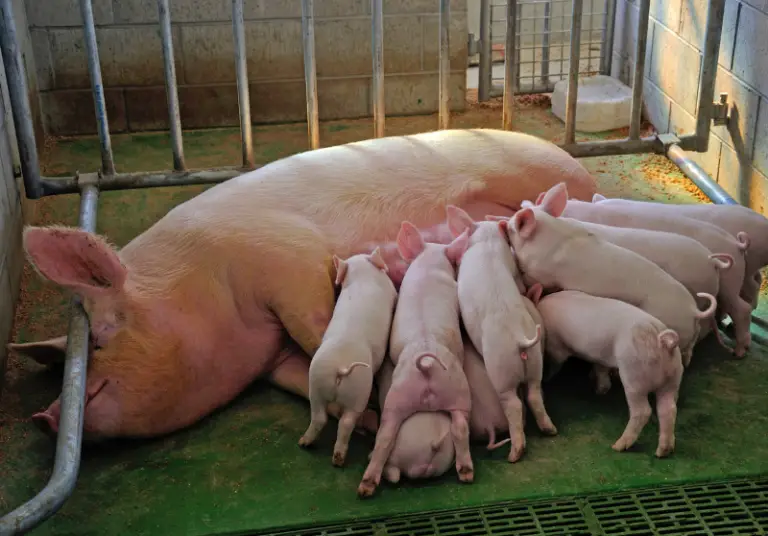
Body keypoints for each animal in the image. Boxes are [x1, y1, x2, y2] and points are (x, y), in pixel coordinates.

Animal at [298, 248, 398, 467]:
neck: (362, 275)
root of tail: (341, 367)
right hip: (359, 391)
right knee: (346, 422)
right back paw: (338, 460)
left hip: (316, 383)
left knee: (319, 417)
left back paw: (304, 442)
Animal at [357, 222, 473, 498]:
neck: (430, 265)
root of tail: (427, 366)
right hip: (456, 390)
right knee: (460, 427)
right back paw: (466, 473)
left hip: (398, 397)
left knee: (385, 436)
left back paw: (365, 486)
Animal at [446, 205, 556, 462]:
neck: (487, 242)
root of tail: (521, 340)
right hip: (535, 363)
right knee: (534, 394)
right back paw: (550, 430)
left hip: (500, 369)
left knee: (513, 403)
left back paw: (515, 454)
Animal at [531, 286, 683, 458]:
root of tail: (662, 340)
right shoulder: (600, 356)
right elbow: (600, 369)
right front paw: (599, 389)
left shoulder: (556, 346)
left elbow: (556, 362)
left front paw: (547, 377)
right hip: (673, 376)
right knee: (668, 408)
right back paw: (663, 452)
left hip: (634, 375)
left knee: (643, 411)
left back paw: (618, 446)